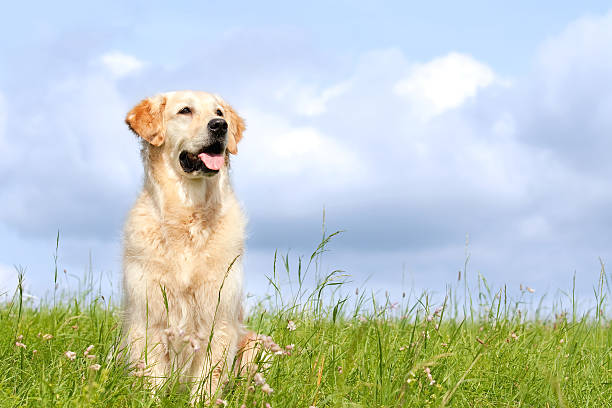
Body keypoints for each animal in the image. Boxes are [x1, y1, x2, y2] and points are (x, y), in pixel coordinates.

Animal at [122, 91, 258, 400]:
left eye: (219, 112)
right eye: (185, 111)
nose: (220, 126)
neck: (189, 214)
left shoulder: (219, 319)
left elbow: (208, 381)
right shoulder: (149, 318)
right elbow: (152, 377)